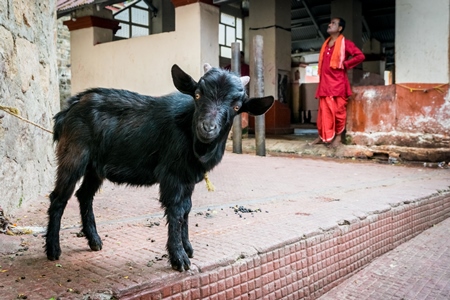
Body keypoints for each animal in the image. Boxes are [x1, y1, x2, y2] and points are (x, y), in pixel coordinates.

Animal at [45, 63, 274, 272]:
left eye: (236, 107)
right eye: (198, 94)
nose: (207, 128)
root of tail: (69, 108)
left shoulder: (188, 178)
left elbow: (186, 209)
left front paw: (187, 247)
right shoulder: (172, 175)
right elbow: (176, 210)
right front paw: (179, 258)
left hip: (95, 167)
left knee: (84, 195)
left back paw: (94, 240)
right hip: (74, 155)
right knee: (59, 198)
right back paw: (52, 249)